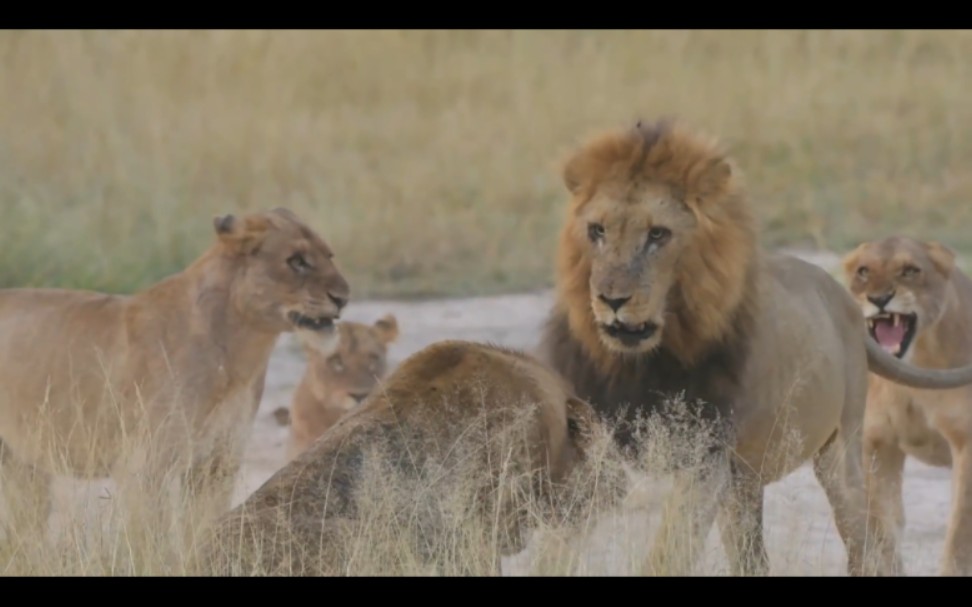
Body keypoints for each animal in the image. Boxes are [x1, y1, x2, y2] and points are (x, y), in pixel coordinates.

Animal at [0, 209, 352, 556]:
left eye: (329, 255)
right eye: (297, 261)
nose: (343, 298)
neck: (241, 355)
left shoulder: (215, 466)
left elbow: (203, 530)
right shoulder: (144, 467)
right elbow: (149, 541)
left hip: (20, 466)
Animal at [844, 235, 972, 576]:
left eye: (910, 270)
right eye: (863, 271)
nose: (879, 298)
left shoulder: (966, 444)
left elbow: (958, 535)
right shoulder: (876, 444)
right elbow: (883, 529)